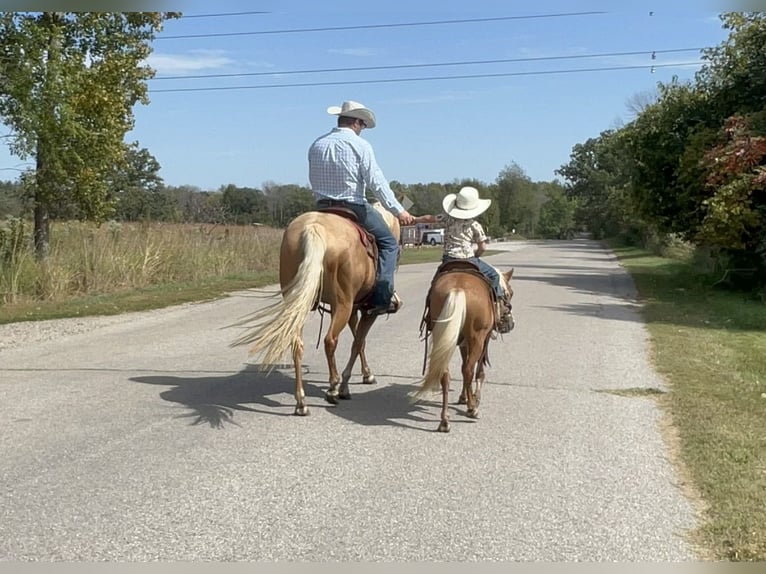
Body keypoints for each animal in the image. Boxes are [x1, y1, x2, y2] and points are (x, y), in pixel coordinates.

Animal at [231, 204, 402, 418]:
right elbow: (358, 343)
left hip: (300, 303)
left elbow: (358, 342)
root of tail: (314, 227)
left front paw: (364, 374)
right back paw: (333, 389)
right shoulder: (367, 311)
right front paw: (350, 383)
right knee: (330, 340)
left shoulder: (354, 309)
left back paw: (301, 402)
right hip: (342, 305)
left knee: (297, 345)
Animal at [414, 264, 516, 434]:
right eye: (510, 293)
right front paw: (474, 399)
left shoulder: (462, 342)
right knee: (468, 369)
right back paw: (473, 410)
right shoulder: (483, 339)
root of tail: (457, 289)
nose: (510, 324)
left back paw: (445, 420)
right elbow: (479, 371)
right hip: (476, 338)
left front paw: (464, 397)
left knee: (446, 374)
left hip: (441, 336)